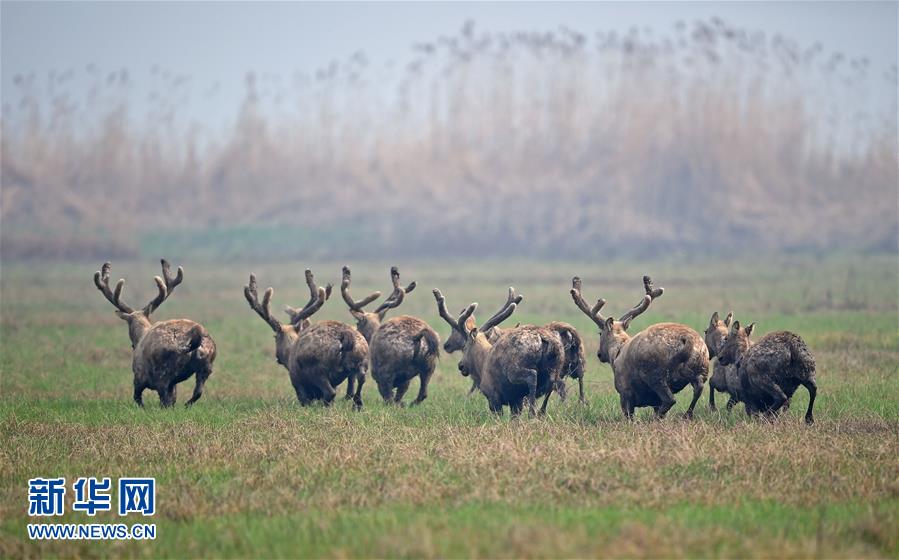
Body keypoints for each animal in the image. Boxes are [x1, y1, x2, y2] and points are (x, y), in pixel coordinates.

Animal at [92, 258, 216, 406]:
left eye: (128, 325)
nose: (132, 345)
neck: (140, 334)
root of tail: (196, 336)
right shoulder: (173, 384)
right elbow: (173, 399)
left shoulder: (139, 377)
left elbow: (138, 399)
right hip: (206, 366)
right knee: (197, 392)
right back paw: (186, 405)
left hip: (162, 373)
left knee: (165, 399)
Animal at [243, 270, 370, 410]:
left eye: (275, 337)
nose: (277, 357)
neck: (289, 355)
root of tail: (346, 336)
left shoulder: (297, 382)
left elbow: (305, 399)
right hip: (362, 361)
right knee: (358, 382)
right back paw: (357, 405)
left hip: (317, 369)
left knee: (330, 392)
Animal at [340, 266, 442, 406]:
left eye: (357, 322)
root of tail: (418, 336)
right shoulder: (405, 379)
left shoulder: (380, 375)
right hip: (429, 366)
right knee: (423, 393)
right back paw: (410, 404)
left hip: (385, 372)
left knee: (390, 398)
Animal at [436, 288, 564, 416]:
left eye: (465, 347)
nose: (461, 365)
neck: (482, 364)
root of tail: (542, 339)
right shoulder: (515, 401)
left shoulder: (493, 395)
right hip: (554, 369)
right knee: (551, 387)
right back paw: (541, 413)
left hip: (514, 370)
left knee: (532, 376)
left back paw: (532, 413)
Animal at [568, 276, 712, 420]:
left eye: (599, 333)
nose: (599, 354)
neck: (616, 353)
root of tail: (688, 341)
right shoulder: (652, 400)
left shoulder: (625, 392)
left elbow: (629, 416)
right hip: (702, 368)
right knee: (698, 388)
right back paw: (686, 414)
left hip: (656, 375)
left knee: (670, 399)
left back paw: (659, 417)